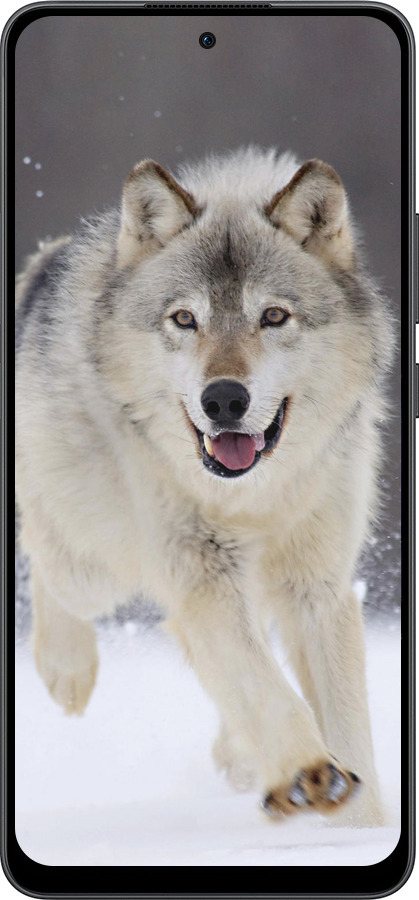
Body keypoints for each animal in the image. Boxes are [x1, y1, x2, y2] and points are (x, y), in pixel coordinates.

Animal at [16, 147, 393, 826]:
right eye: (185, 319)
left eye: (273, 316)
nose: (223, 399)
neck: (254, 497)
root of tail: (44, 261)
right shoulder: (202, 573)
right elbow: (265, 687)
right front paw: (308, 772)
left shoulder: (317, 585)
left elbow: (346, 722)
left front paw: (360, 825)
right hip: (97, 565)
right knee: (45, 555)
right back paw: (67, 670)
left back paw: (240, 757)